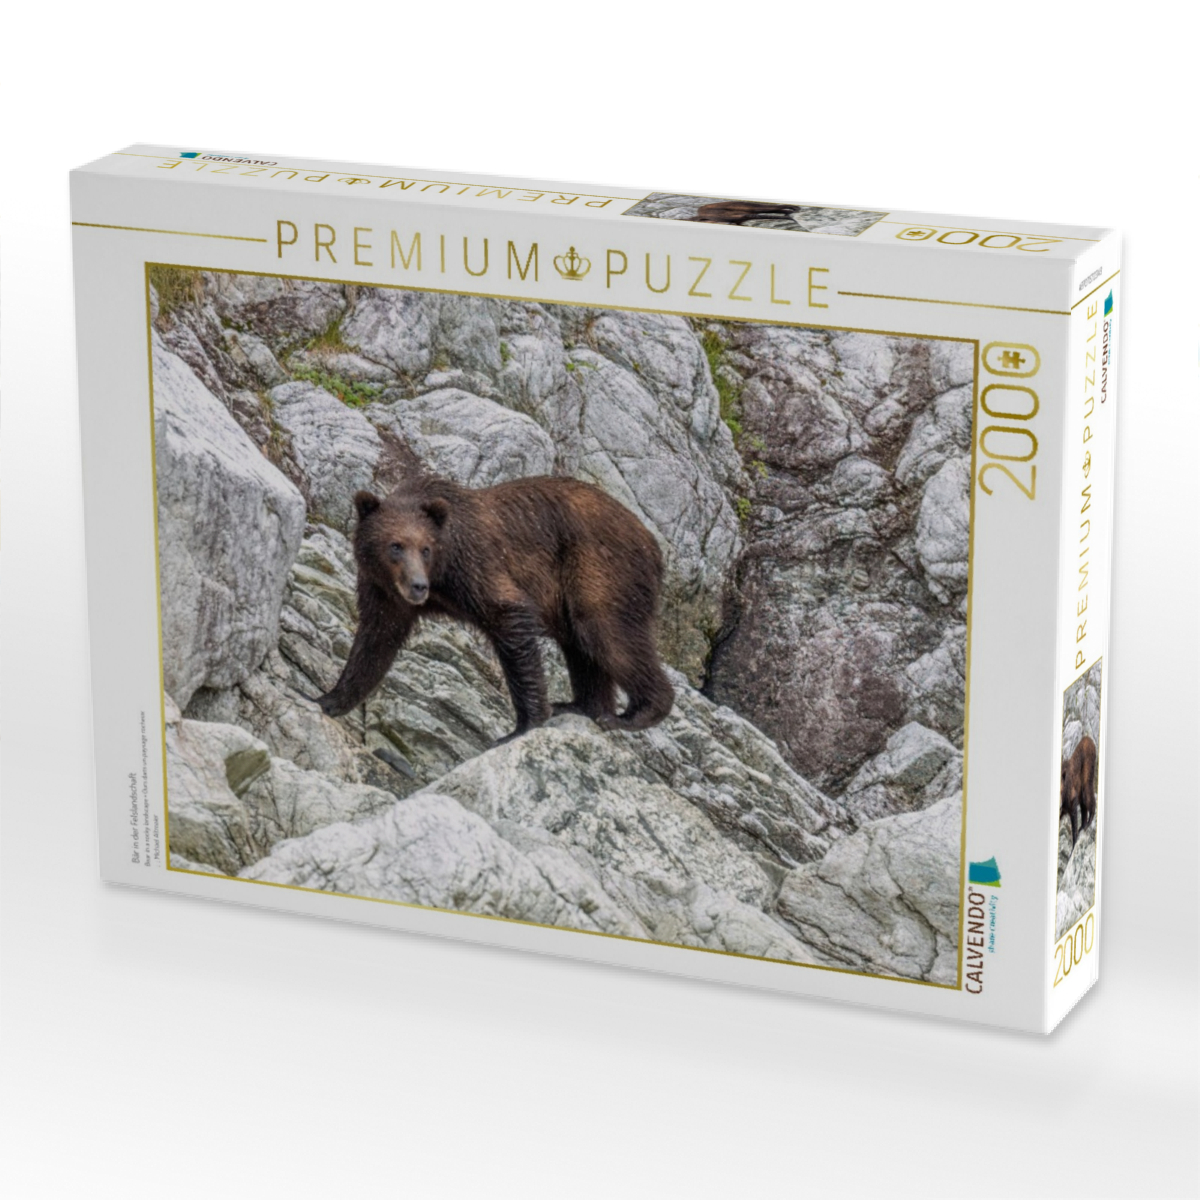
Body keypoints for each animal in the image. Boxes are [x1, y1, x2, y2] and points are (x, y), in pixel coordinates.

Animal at [314, 473, 676, 742]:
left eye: (426, 548)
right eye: (395, 546)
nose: (418, 586)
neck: (442, 576)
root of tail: (653, 543)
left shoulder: (475, 566)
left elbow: (509, 617)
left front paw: (524, 724)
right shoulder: (384, 593)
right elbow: (375, 641)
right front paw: (329, 699)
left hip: (600, 568)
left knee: (606, 632)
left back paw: (633, 714)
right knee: (580, 646)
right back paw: (581, 706)